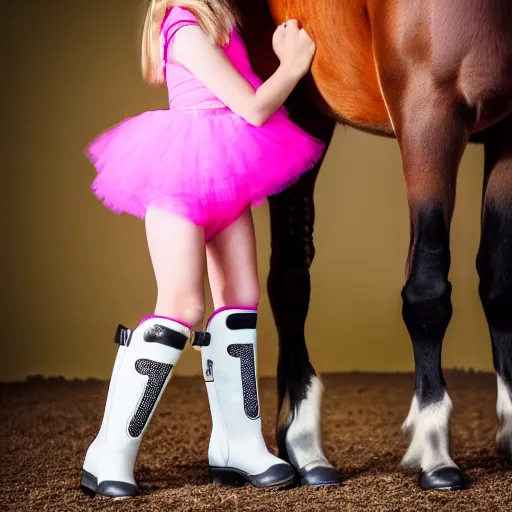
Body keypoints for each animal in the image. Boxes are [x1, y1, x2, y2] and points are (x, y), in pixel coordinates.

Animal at [235, 0, 512, 490]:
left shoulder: (509, 134)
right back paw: (304, 442)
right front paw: (434, 448)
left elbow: (498, 284)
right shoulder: (428, 117)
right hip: (290, 108)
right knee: (289, 279)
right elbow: (427, 292)